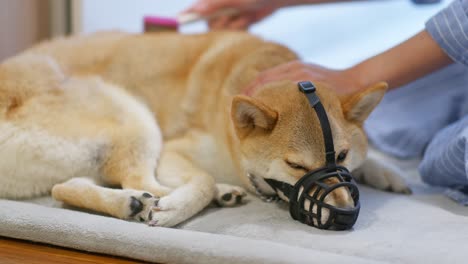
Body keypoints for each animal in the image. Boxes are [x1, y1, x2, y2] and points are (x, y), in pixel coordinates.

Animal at [0, 31, 410, 227]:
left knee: (64, 187)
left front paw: (388, 173)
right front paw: (176, 207)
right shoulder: (175, 149)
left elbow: (368, 157)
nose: (344, 215)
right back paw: (159, 201)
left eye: (340, 155)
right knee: (140, 180)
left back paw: (130, 202)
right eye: (296, 166)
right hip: (134, 115)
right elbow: (202, 178)